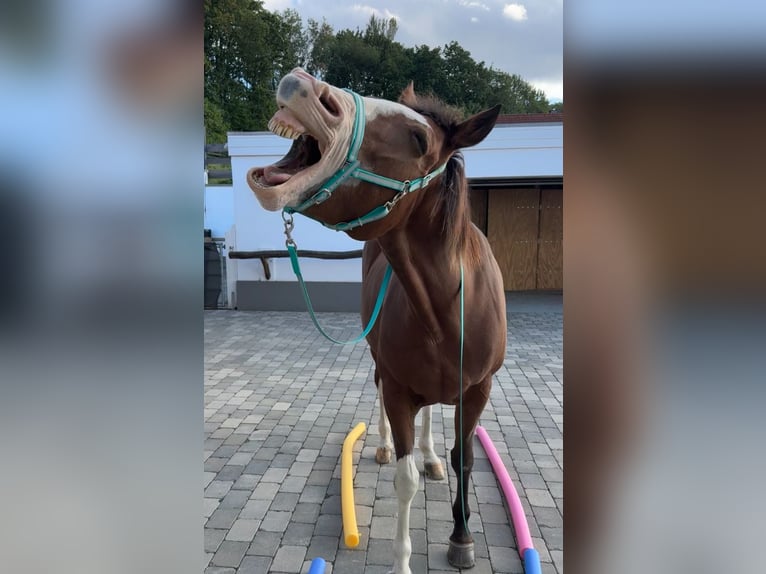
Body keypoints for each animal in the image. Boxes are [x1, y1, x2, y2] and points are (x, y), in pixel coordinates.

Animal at [247, 68, 507, 574]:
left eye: (419, 137)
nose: (302, 84)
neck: (448, 309)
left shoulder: (477, 390)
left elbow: (464, 459)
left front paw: (461, 537)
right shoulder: (400, 387)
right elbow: (405, 479)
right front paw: (403, 559)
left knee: (433, 419)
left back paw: (431, 456)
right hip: (379, 364)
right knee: (381, 394)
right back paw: (387, 446)